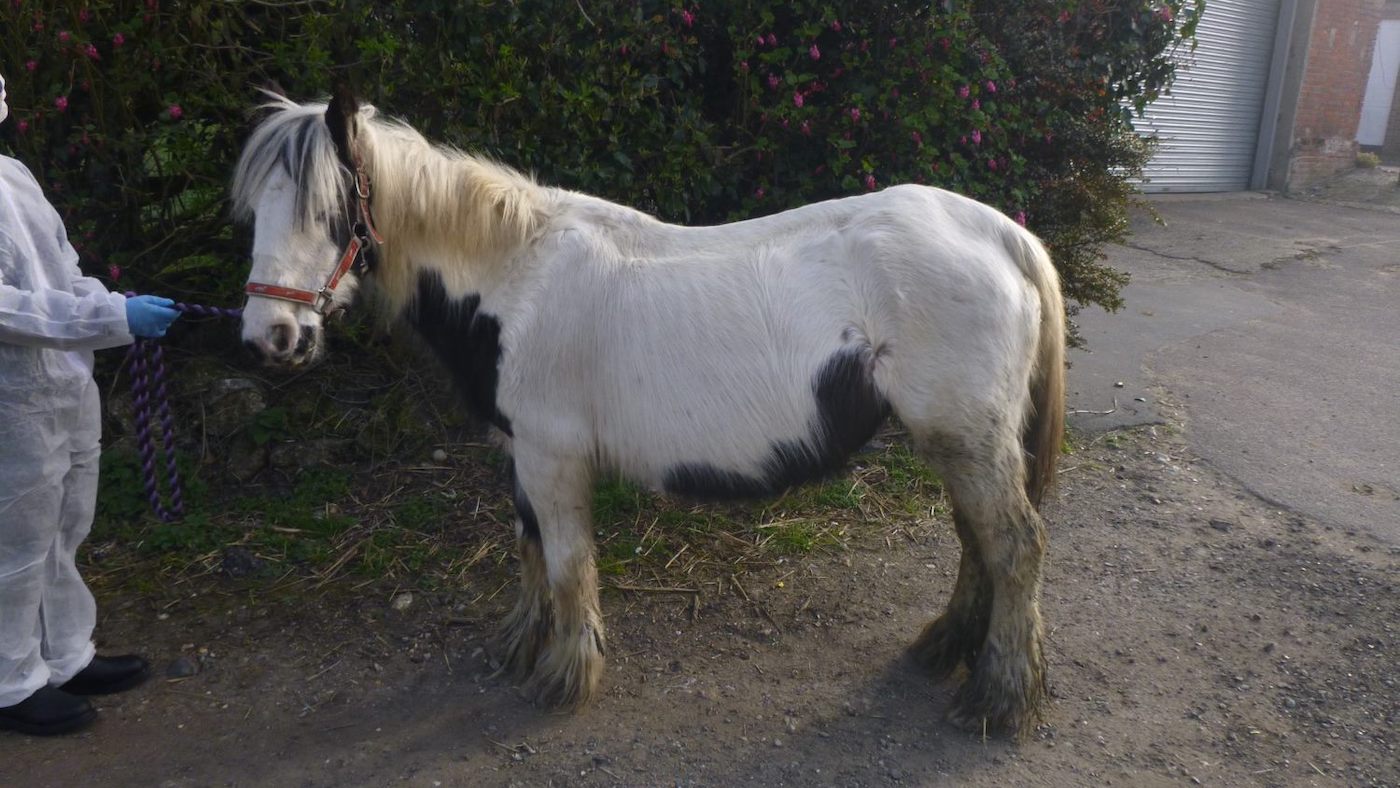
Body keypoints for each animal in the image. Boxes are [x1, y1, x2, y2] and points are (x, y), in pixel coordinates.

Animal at [232, 86, 1066, 736]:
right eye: (254, 214)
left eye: (329, 212)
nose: (271, 339)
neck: (516, 277)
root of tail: (1001, 233)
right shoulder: (521, 453)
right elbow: (529, 549)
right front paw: (521, 646)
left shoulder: (553, 457)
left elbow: (567, 563)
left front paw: (565, 676)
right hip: (959, 440)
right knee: (977, 540)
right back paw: (946, 649)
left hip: (964, 437)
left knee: (1015, 545)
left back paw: (997, 698)